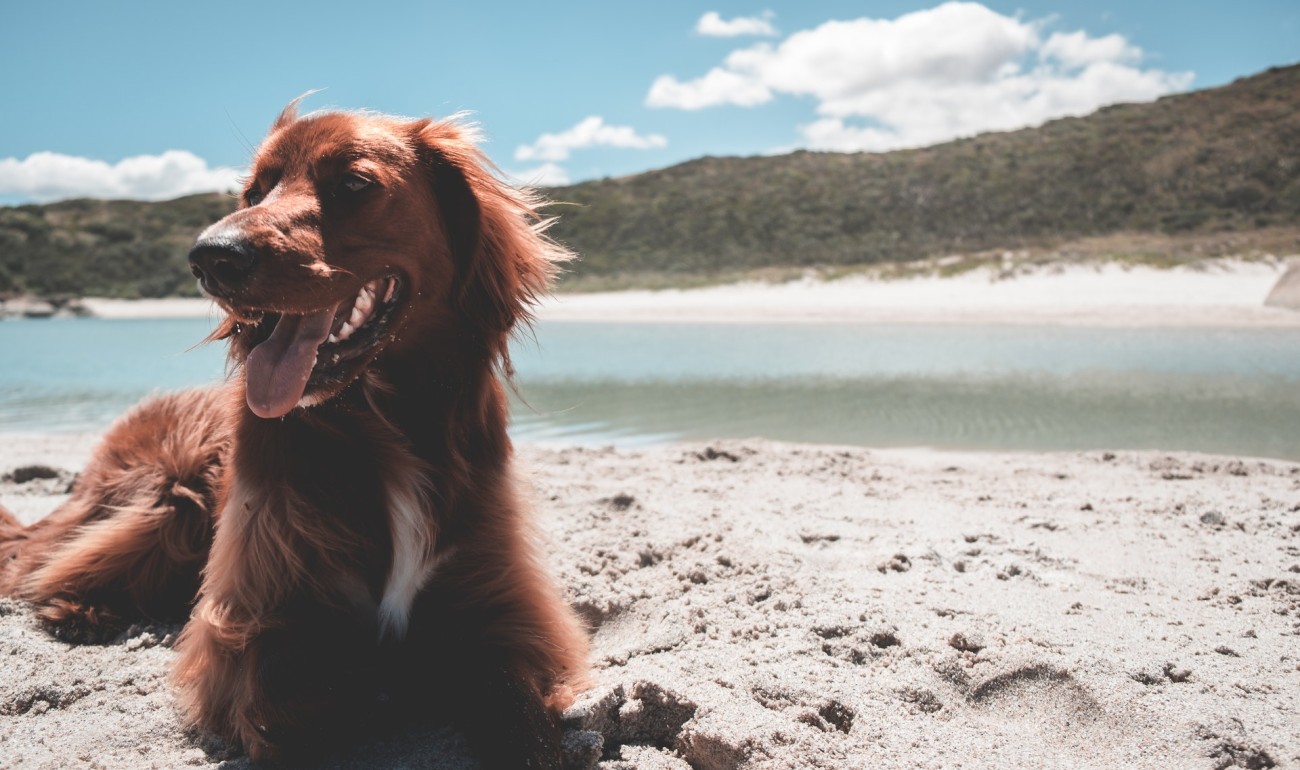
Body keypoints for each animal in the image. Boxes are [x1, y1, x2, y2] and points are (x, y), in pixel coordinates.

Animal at [0, 100, 590, 764]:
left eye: (354, 184)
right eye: (254, 191)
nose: (211, 257)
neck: (382, 421)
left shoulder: (499, 607)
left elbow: (519, 715)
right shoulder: (250, 625)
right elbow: (309, 697)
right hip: (164, 499)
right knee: (44, 560)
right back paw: (80, 607)